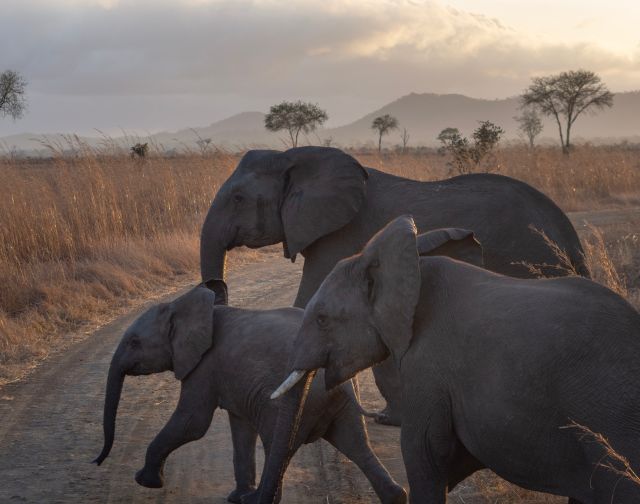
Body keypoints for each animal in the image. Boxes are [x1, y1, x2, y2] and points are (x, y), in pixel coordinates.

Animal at [93, 284, 408, 504]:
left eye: (134, 342)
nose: (97, 461)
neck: (182, 304)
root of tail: (341, 380)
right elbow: (240, 427)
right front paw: (236, 498)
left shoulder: (204, 366)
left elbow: (193, 423)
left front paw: (144, 482)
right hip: (340, 405)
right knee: (356, 444)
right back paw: (396, 496)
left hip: (295, 403)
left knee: (279, 444)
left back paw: (258, 500)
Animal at [200, 146, 592, 426]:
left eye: (238, 198)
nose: (217, 287)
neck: (295, 156)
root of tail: (570, 237)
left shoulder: (339, 235)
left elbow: (306, 300)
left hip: (529, 258)